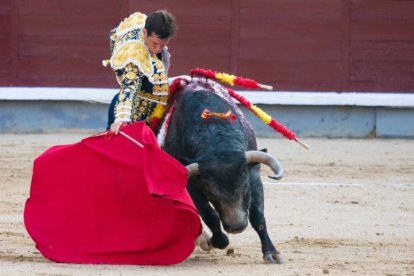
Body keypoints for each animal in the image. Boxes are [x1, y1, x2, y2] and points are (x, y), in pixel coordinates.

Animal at [162, 78, 284, 264]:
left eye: (245, 185)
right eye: (211, 192)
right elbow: (209, 214)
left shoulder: (254, 176)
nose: (236, 227)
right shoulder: (191, 184)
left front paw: (272, 252)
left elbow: (257, 216)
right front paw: (217, 240)